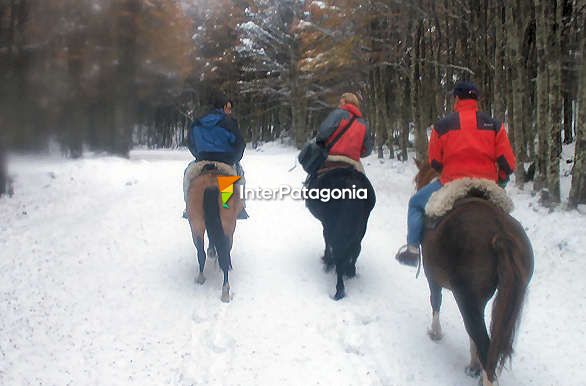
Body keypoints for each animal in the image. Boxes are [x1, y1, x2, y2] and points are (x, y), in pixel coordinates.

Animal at [187, 163, 242, 302]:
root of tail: (211, 185)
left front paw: (211, 251)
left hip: (196, 225)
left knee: (201, 253)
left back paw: (201, 278)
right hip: (228, 226)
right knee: (224, 252)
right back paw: (225, 289)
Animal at [306, 164, 374, 300]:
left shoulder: (327, 225)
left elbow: (326, 241)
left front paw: (326, 261)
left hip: (337, 231)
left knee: (339, 257)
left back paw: (339, 290)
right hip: (359, 232)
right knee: (355, 250)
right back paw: (350, 271)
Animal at [412, 158, 532, 384]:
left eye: (416, 179)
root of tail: (500, 233)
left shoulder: (432, 276)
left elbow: (435, 301)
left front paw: (436, 333)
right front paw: (473, 365)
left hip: (465, 297)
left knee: (485, 345)